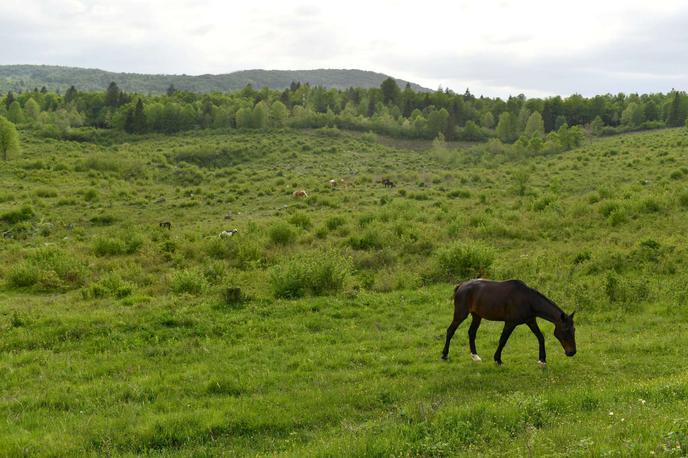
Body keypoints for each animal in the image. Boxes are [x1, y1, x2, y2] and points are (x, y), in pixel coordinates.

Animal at [440, 278, 576, 366]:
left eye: (573, 330)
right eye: (565, 330)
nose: (572, 352)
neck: (528, 300)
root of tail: (461, 286)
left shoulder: (531, 321)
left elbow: (540, 337)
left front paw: (542, 360)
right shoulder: (510, 323)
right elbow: (503, 340)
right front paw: (498, 359)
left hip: (477, 316)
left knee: (471, 333)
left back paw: (475, 356)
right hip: (461, 314)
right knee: (450, 331)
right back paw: (444, 355)